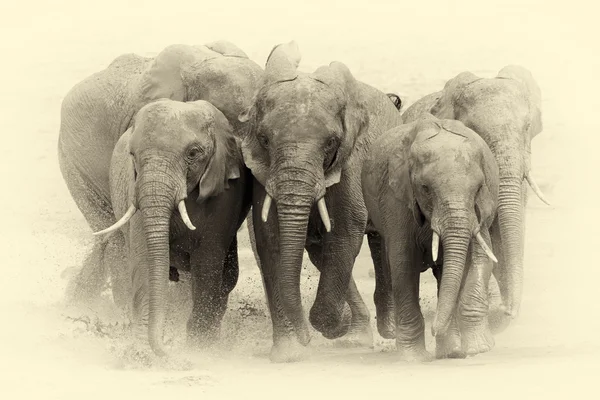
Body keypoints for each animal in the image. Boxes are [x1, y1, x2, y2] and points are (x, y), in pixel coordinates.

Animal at [90, 98, 250, 354]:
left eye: (193, 153)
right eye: (132, 155)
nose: (166, 349)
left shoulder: (225, 193)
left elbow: (207, 263)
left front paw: (199, 347)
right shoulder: (135, 190)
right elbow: (145, 259)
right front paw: (141, 350)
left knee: (227, 278)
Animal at [238, 40, 404, 362]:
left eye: (331, 143)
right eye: (264, 140)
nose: (305, 339)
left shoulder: (352, 159)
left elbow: (345, 229)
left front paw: (332, 323)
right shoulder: (263, 172)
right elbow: (270, 237)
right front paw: (288, 353)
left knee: (381, 241)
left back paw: (388, 329)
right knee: (320, 252)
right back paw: (354, 336)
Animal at [364, 114, 500, 360]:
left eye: (478, 188)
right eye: (425, 188)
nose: (435, 329)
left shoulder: (480, 209)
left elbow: (480, 257)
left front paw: (479, 348)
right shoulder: (395, 197)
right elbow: (403, 261)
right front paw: (412, 357)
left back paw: (452, 349)